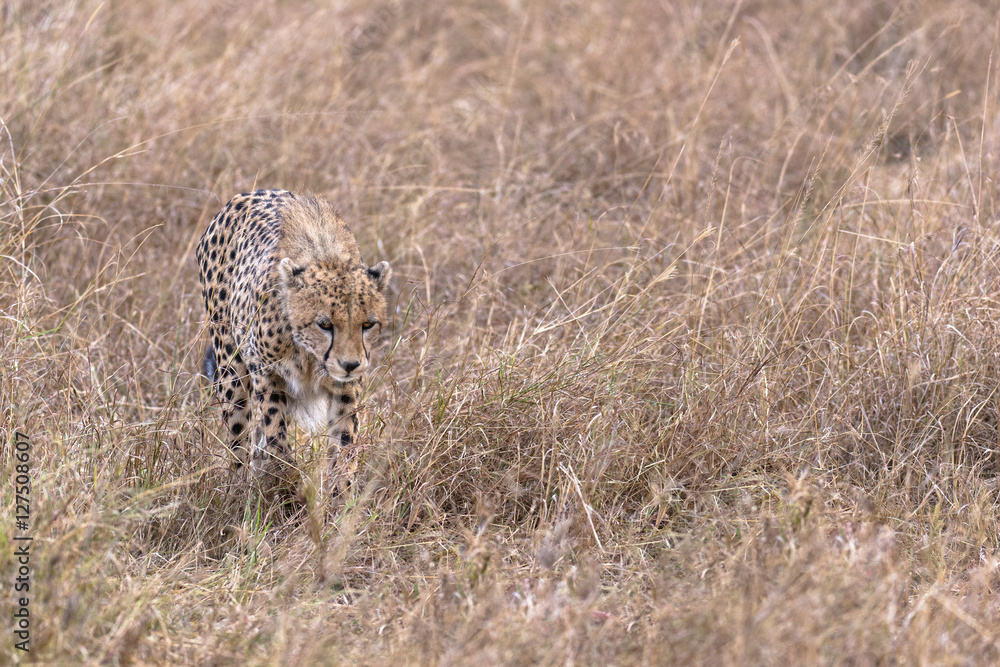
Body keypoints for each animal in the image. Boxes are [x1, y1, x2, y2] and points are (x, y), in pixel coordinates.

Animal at [196, 188, 391, 494]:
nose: (349, 364)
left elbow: (344, 441)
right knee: (240, 436)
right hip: (231, 367)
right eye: (325, 324)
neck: (310, 356)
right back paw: (238, 490)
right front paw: (287, 488)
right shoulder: (266, 373)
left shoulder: (347, 387)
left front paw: (340, 495)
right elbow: (276, 435)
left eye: (367, 324)